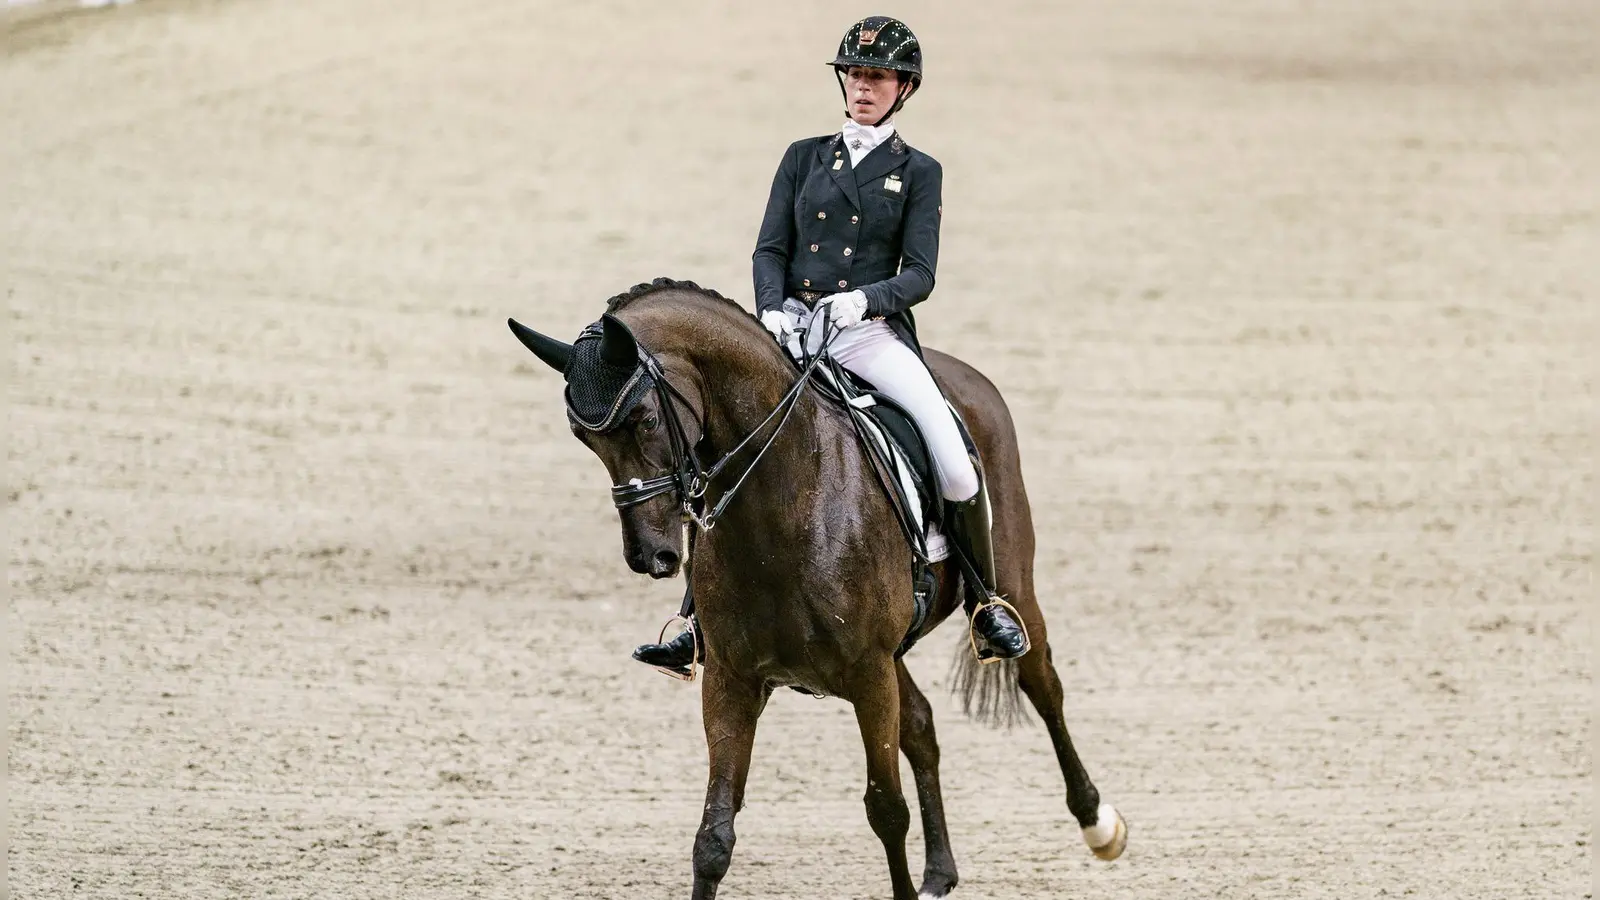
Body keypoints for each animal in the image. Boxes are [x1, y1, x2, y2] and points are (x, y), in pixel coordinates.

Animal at [508, 278, 1126, 896]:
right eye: (583, 438)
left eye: (643, 418)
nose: (650, 556)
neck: (784, 501)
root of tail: (965, 375)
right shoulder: (733, 679)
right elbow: (713, 836)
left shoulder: (869, 673)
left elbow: (886, 810)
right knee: (922, 724)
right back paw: (939, 872)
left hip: (1010, 587)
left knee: (1042, 684)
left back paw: (1099, 824)